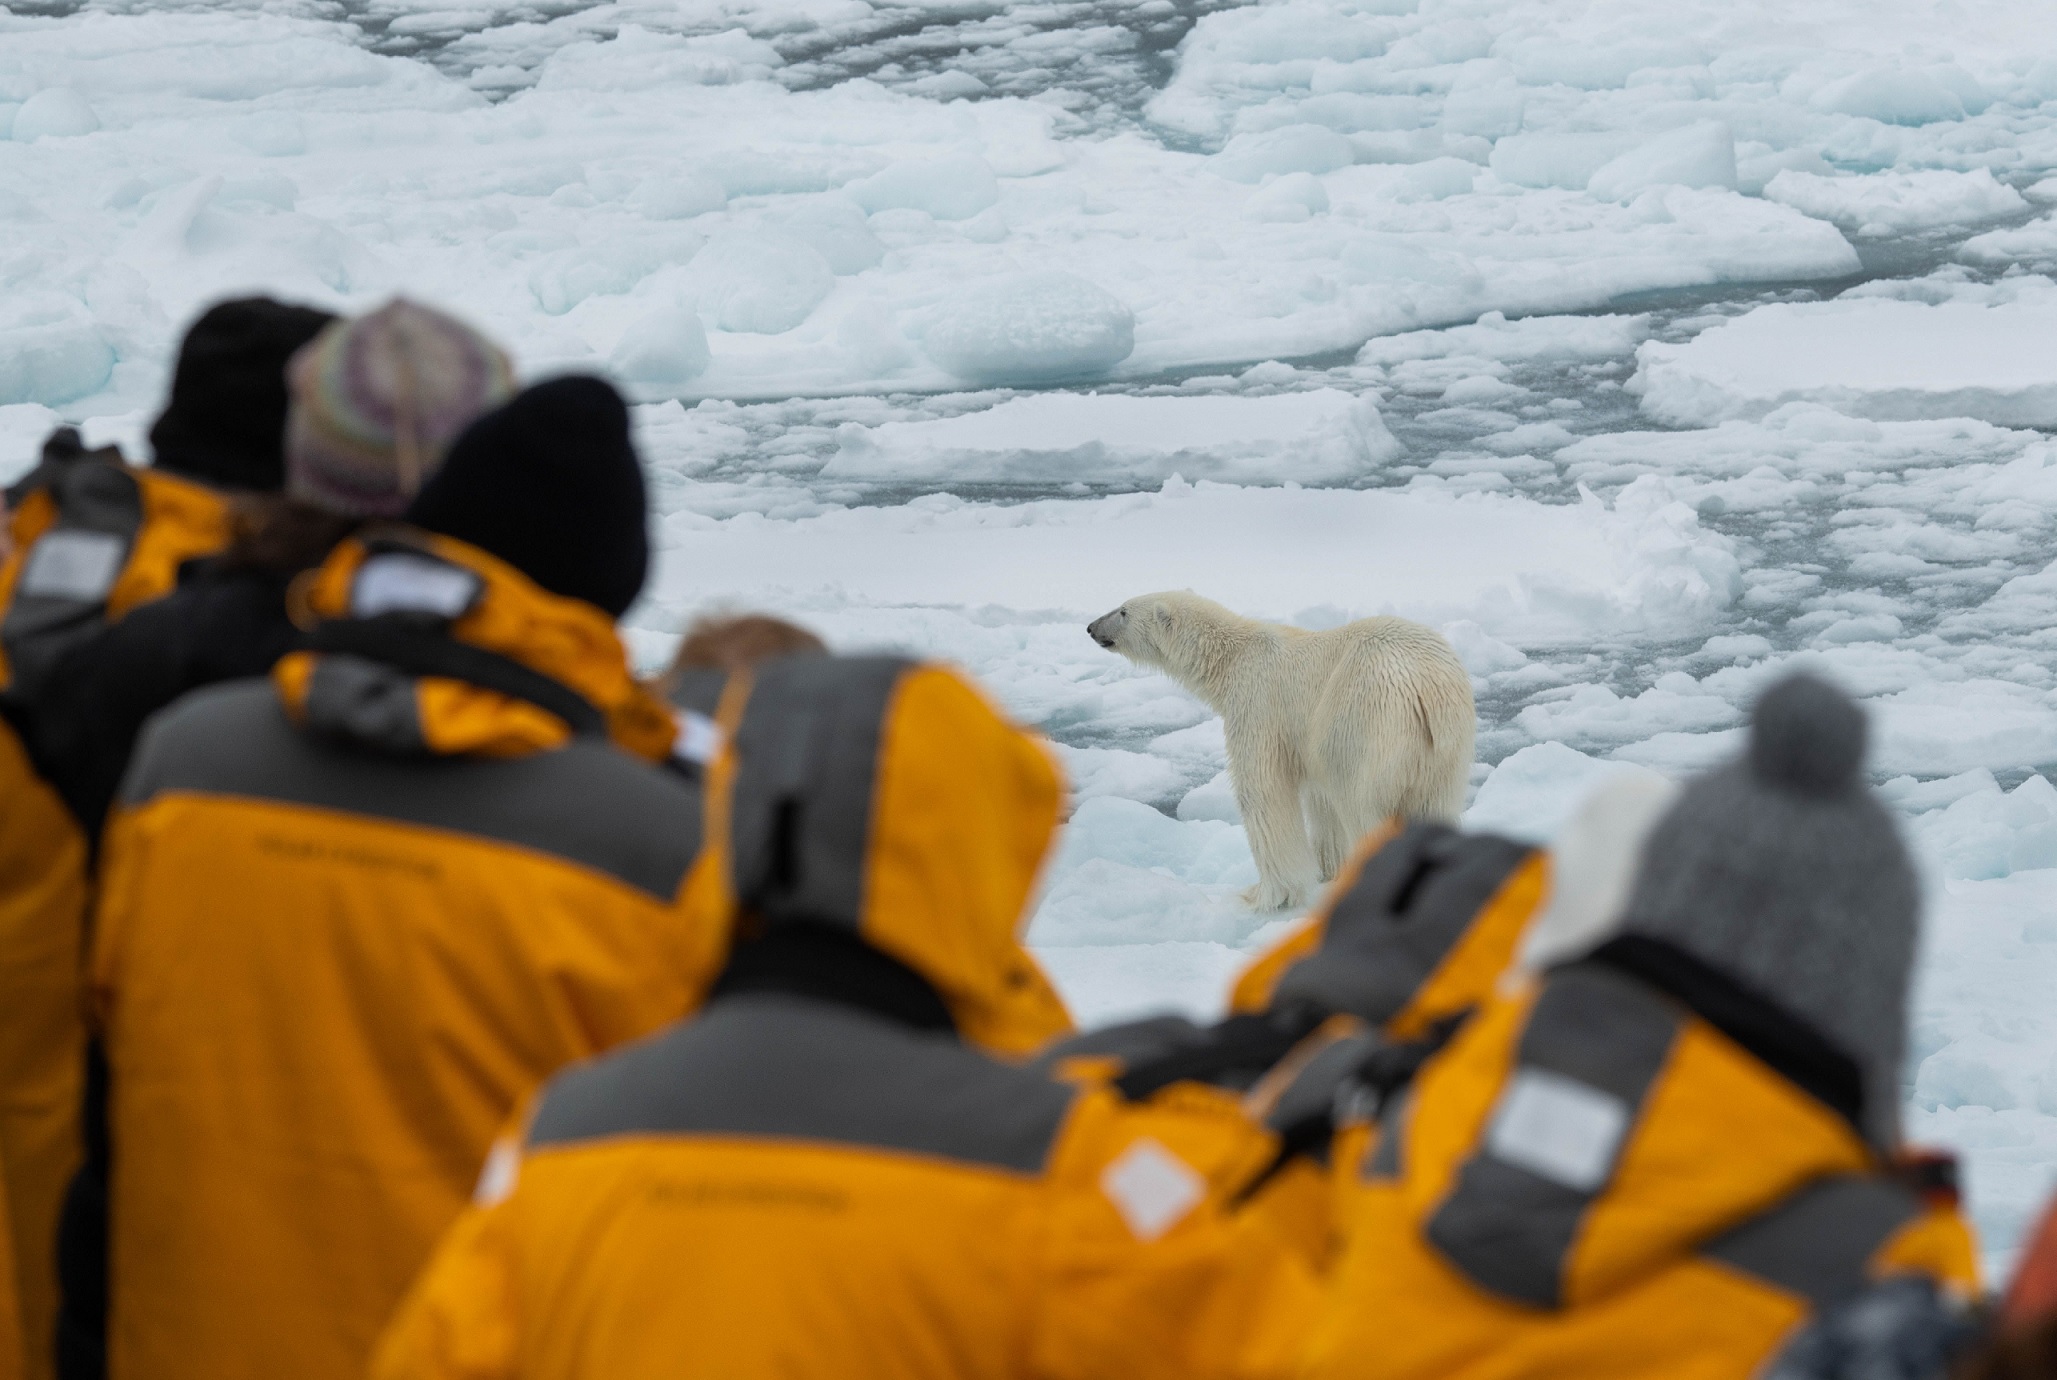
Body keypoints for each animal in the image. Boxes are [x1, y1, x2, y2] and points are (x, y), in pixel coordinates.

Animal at [1086, 588, 1472, 913]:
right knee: (1434, 806)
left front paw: (1265, 895)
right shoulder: (1305, 734)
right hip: (1447, 751)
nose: (1090, 627)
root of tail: (1425, 685)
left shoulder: (1259, 705)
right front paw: (1328, 869)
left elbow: (1263, 793)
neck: (1231, 659)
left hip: (1362, 718)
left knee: (1361, 806)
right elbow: (1320, 799)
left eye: (1123, 611)